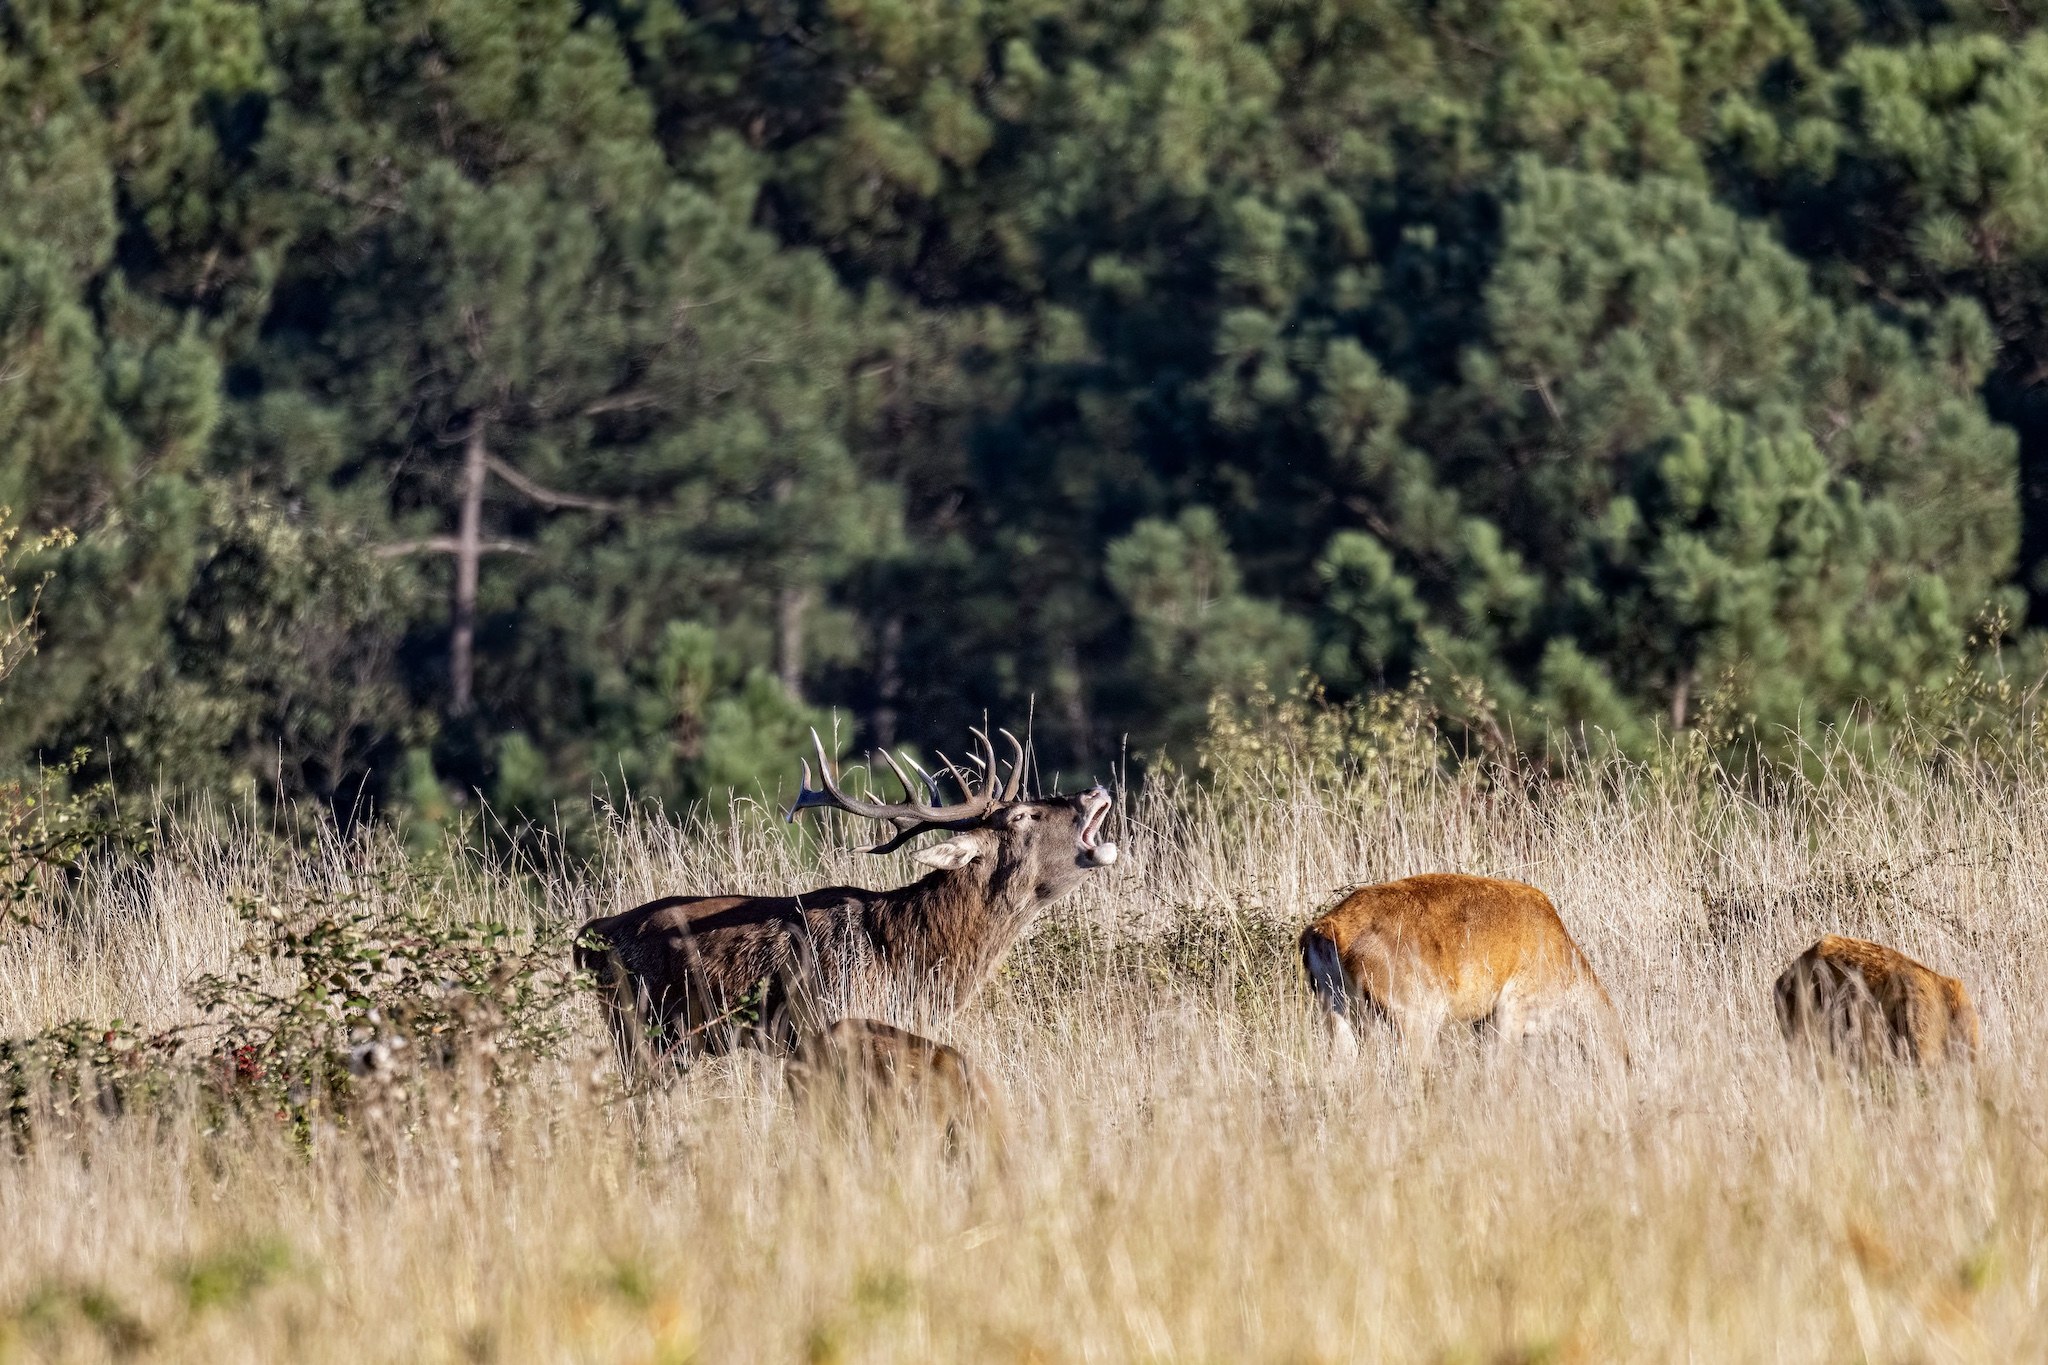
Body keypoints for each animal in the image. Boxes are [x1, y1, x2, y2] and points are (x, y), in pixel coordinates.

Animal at [575, 726, 1118, 1077]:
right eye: (1021, 816)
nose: (1095, 791)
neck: (910, 957)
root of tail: (589, 934)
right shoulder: (825, 1021)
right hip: (638, 1028)